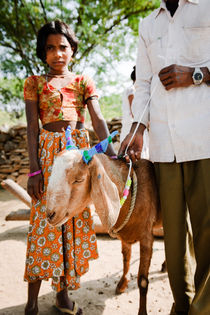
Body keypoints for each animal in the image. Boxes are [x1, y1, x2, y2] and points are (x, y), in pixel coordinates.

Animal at [46, 151, 160, 315]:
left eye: (79, 180)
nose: (50, 214)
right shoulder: (125, 237)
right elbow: (126, 259)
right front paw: (122, 284)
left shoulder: (147, 238)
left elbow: (143, 281)